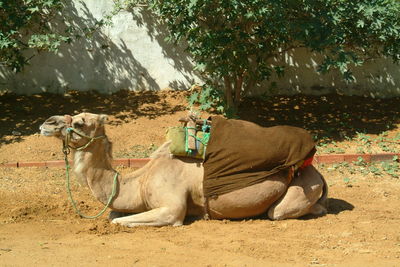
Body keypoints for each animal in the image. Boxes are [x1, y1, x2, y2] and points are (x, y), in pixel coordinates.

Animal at [40, 113, 328, 228]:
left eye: (81, 122)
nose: (47, 123)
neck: (141, 180)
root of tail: (319, 176)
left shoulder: (172, 207)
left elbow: (119, 221)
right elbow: (113, 214)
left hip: (298, 191)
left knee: (279, 212)